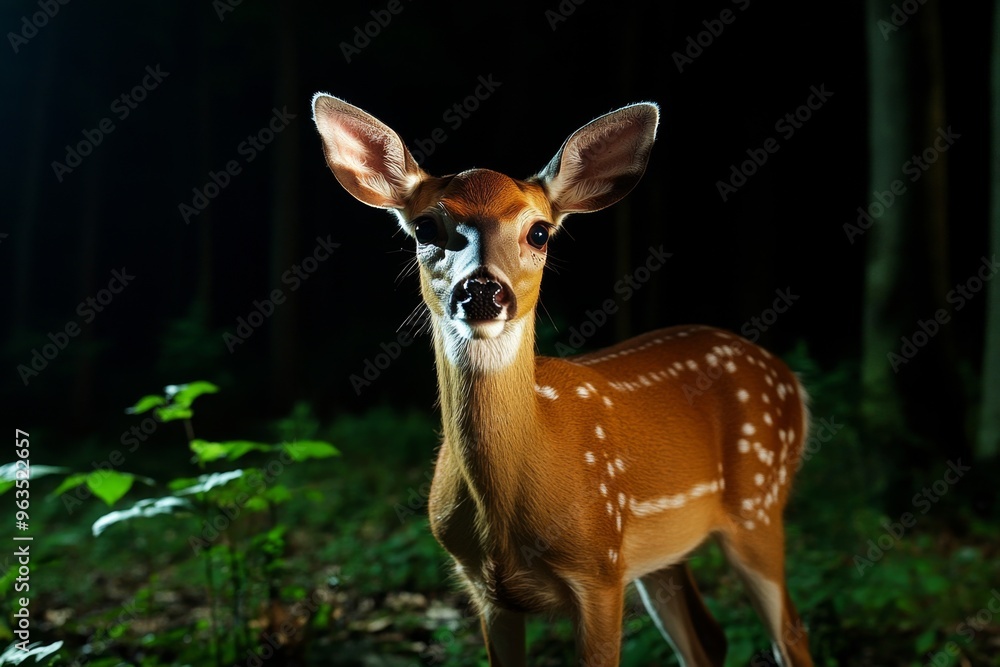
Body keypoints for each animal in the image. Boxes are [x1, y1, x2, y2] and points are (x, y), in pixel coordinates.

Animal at [311, 93, 814, 667]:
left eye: (539, 232)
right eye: (425, 229)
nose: (482, 290)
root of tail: (789, 378)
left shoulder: (599, 571)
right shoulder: (487, 592)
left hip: (758, 504)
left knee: (791, 633)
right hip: (663, 553)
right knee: (709, 639)